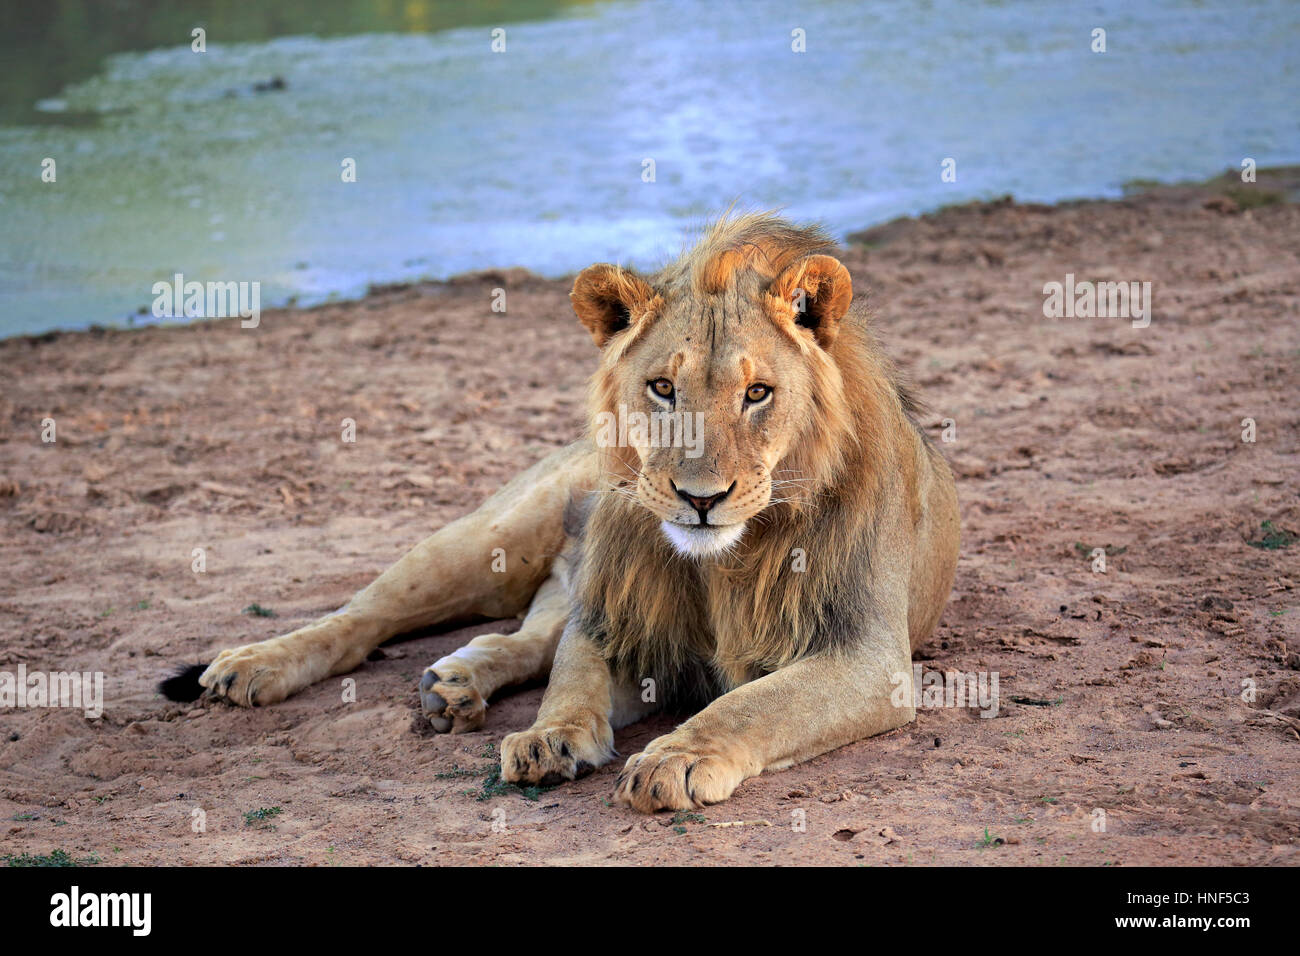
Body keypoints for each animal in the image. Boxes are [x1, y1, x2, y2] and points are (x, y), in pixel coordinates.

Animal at [172, 214, 961, 816]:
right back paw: (253, 666)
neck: (724, 563)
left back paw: (455, 683)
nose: (700, 498)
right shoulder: (616, 617)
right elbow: (573, 677)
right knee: (365, 616)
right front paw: (548, 736)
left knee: (528, 633)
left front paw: (675, 757)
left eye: (758, 393)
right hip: (488, 543)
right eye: (663, 387)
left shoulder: (867, 655)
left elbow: (756, 705)